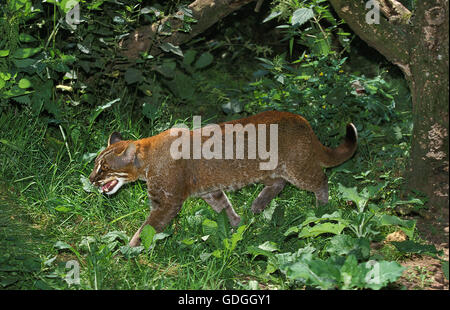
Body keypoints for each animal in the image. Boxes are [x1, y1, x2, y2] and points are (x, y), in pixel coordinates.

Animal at [88, 110, 356, 246]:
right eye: (95, 165)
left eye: (104, 168)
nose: (91, 179)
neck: (146, 158)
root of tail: (301, 119)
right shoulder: (209, 190)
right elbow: (224, 206)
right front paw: (237, 225)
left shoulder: (166, 203)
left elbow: (147, 228)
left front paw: (129, 250)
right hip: (270, 169)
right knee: (278, 183)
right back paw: (258, 205)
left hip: (296, 168)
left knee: (321, 179)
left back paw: (322, 209)